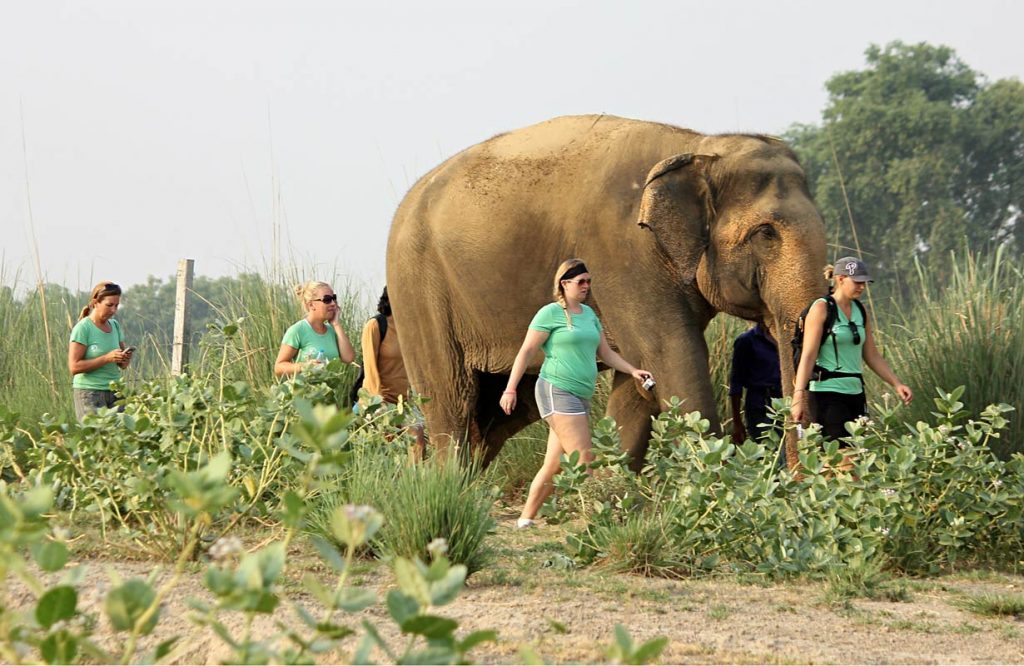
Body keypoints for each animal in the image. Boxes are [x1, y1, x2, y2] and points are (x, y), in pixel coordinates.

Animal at [387, 114, 827, 467]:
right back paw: (448, 482)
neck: (697, 146)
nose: (793, 477)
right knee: (452, 400)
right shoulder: (623, 253)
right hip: (416, 287)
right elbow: (671, 358)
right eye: (766, 233)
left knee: (504, 408)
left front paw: (607, 489)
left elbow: (640, 379)